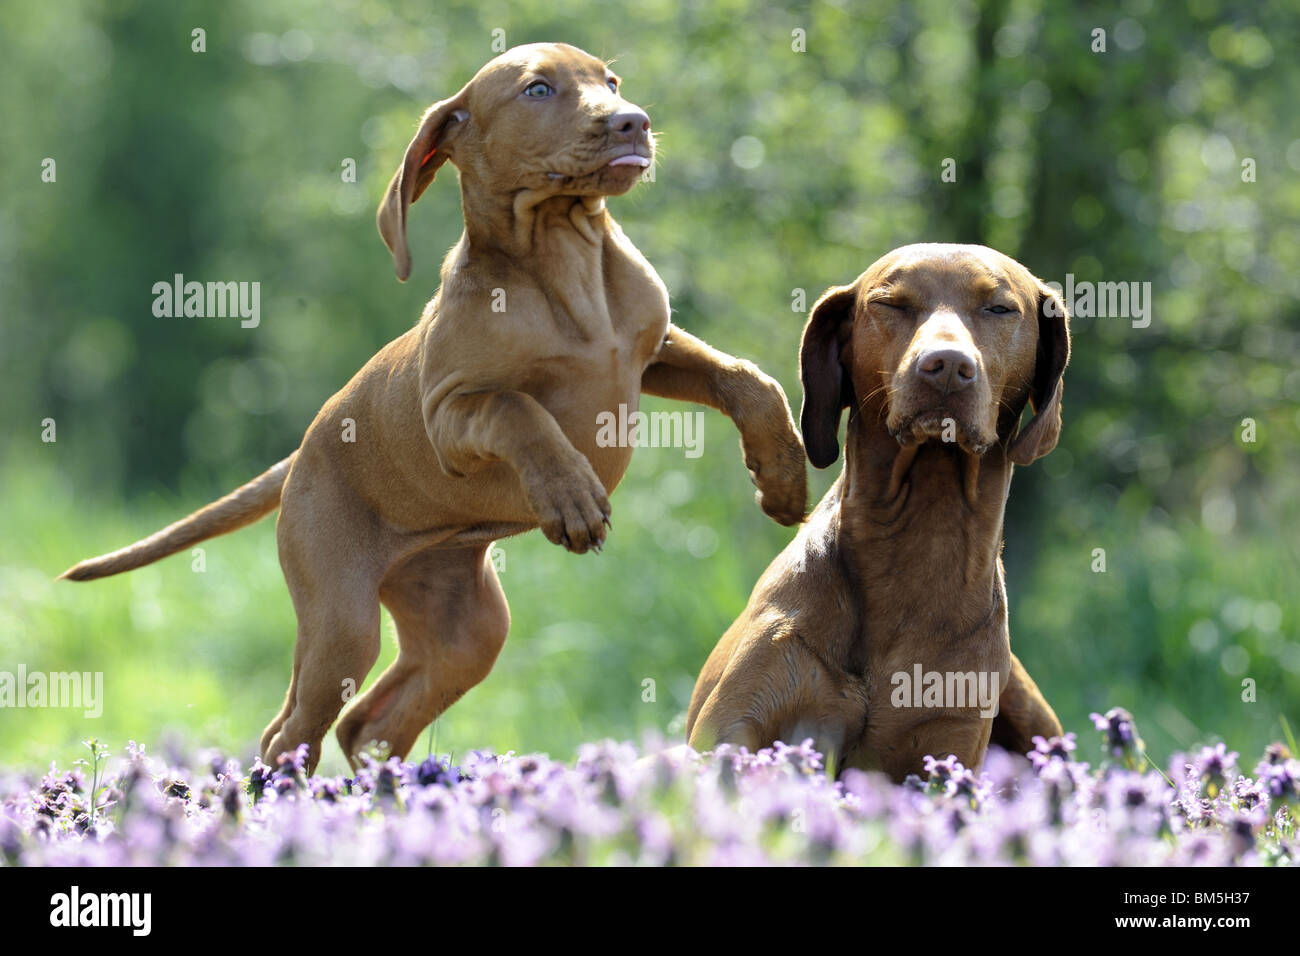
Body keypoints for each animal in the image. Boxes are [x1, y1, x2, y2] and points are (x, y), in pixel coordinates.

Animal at [68, 46, 811, 780]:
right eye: (538, 89)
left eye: (610, 80)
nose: (633, 121)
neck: (565, 254)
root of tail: (301, 453)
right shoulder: (451, 412)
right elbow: (520, 410)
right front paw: (571, 496)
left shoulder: (654, 352)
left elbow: (750, 380)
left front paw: (782, 476)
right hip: (340, 621)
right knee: (289, 736)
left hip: (463, 625)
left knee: (369, 726)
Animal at [691, 243, 1066, 780]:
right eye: (890, 304)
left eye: (999, 308)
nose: (947, 365)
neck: (920, 537)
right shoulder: (731, 729)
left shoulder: (945, 749)